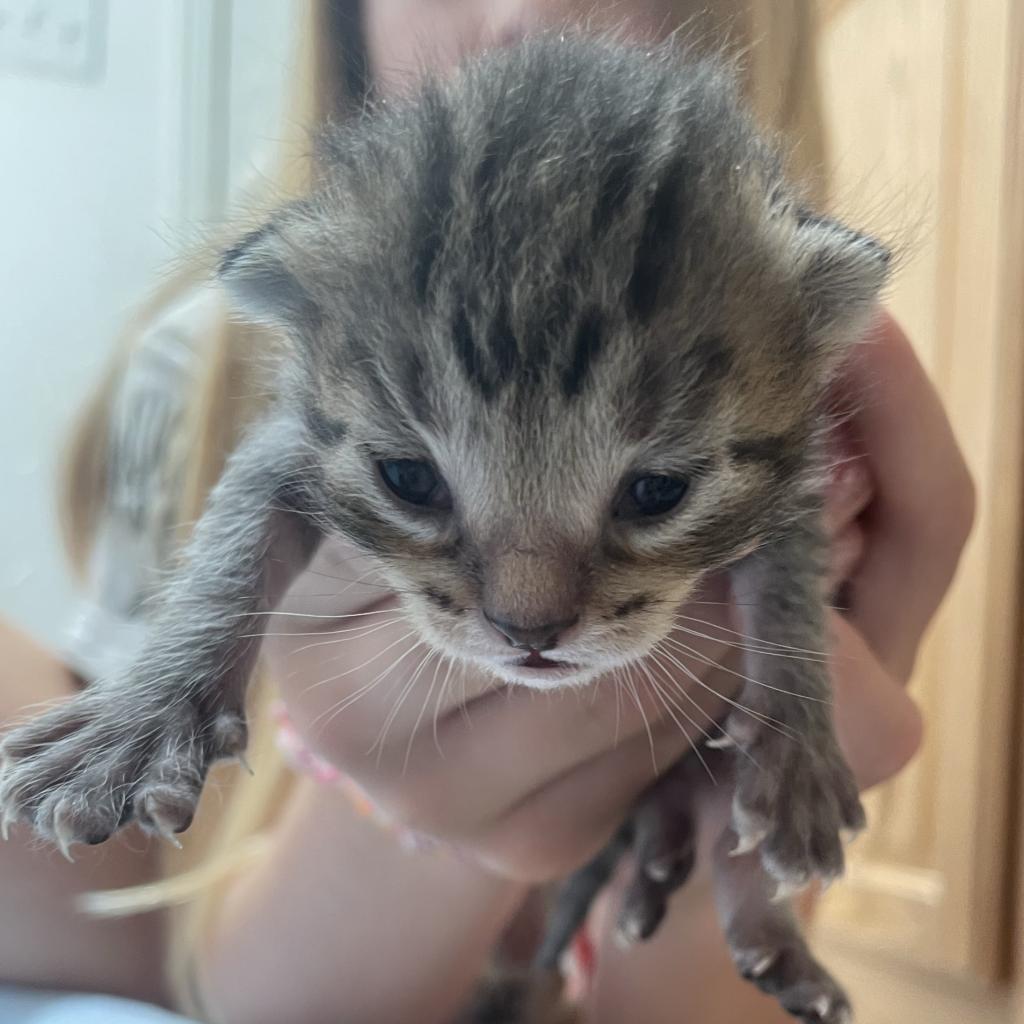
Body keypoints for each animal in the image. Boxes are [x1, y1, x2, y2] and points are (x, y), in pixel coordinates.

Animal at [0, 32, 888, 1024]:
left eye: (659, 491)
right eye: (411, 481)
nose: (530, 630)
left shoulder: (806, 471)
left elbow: (793, 594)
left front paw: (798, 741)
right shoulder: (289, 443)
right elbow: (227, 547)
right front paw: (141, 720)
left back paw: (758, 916)